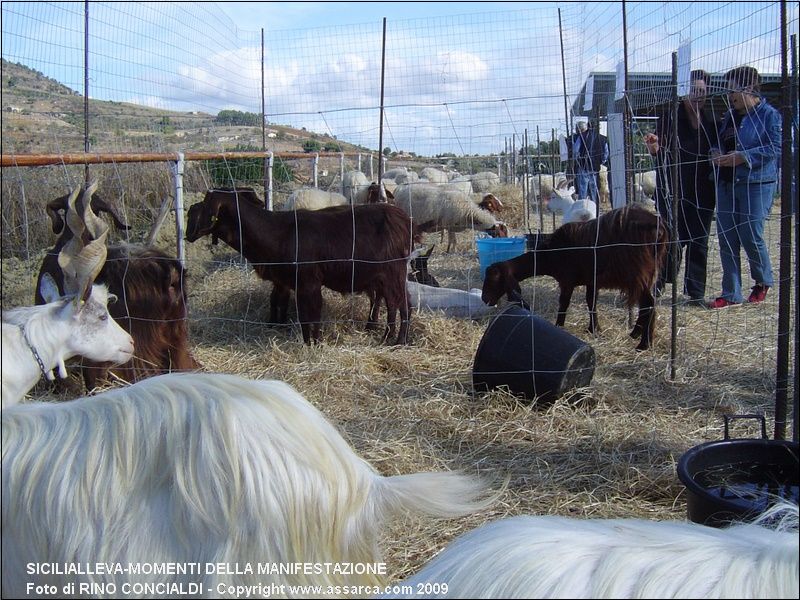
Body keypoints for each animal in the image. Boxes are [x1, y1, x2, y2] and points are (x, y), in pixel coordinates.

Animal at [185, 190, 412, 344]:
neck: (277, 232)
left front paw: (314, 343)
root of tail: (402, 220)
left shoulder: (308, 282)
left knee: (401, 304)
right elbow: (290, 308)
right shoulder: (287, 281)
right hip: (384, 276)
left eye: (206, 206)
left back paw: (395, 340)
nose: (188, 235)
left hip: (392, 272)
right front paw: (300, 338)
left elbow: (311, 314)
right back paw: (388, 335)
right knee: (394, 302)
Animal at [482, 205, 668, 352]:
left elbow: (564, 303)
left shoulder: (567, 279)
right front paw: (594, 329)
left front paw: (558, 325)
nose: (484, 299)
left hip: (637, 273)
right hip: (647, 274)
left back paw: (644, 344)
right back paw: (636, 334)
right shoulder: (591, 280)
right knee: (646, 305)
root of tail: (657, 226)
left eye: (492, 279)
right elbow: (591, 303)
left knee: (649, 304)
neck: (548, 255)